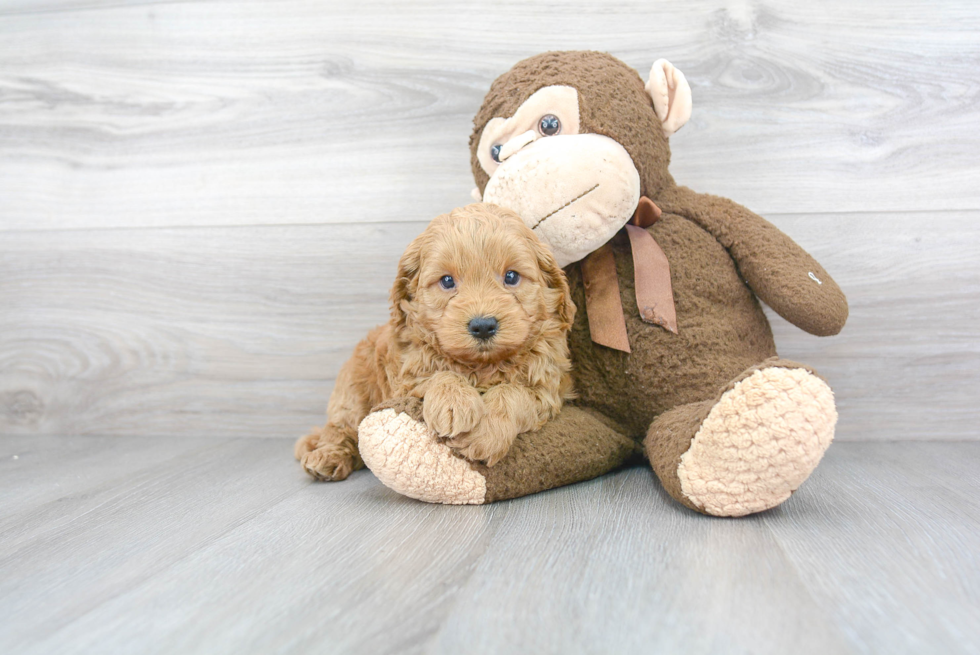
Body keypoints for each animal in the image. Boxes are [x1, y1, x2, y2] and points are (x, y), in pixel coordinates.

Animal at [294, 204, 580, 482]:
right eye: (447, 281)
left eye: (511, 276)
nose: (483, 326)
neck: (482, 365)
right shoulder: (407, 377)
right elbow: (438, 375)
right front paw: (453, 402)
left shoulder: (546, 387)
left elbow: (514, 394)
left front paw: (484, 433)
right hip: (353, 393)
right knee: (339, 428)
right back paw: (326, 456)